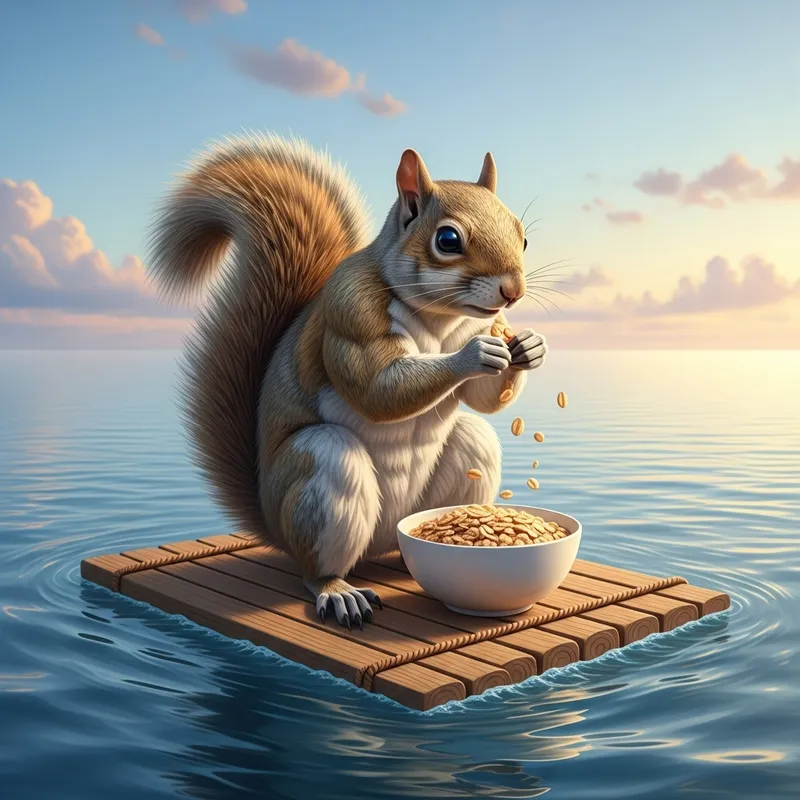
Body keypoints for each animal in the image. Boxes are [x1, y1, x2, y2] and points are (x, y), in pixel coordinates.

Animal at [146, 133, 548, 629]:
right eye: (448, 239)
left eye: (523, 235)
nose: (514, 292)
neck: (440, 319)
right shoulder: (351, 311)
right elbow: (378, 388)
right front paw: (472, 355)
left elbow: (483, 397)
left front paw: (529, 347)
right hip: (323, 471)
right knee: (316, 564)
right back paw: (338, 592)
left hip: (462, 460)